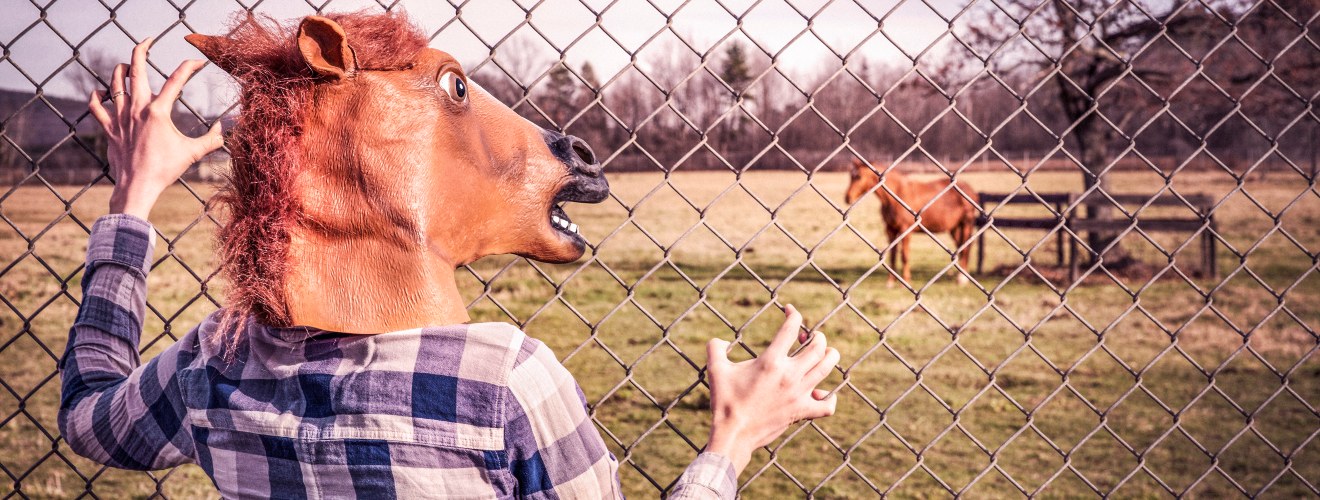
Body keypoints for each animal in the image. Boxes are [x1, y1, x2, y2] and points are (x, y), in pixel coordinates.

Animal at [844, 160, 982, 286]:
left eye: (859, 176)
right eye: (851, 176)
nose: (847, 197)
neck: (896, 195)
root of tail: (972, 191)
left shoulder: (905, 229)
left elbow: (904, 256)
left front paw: (905, 281)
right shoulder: (890, 229)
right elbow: (892, 255)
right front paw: (890, 282)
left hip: (966, 224)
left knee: (966, 248)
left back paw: (961, 279)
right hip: (954, 228)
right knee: (961, 247)